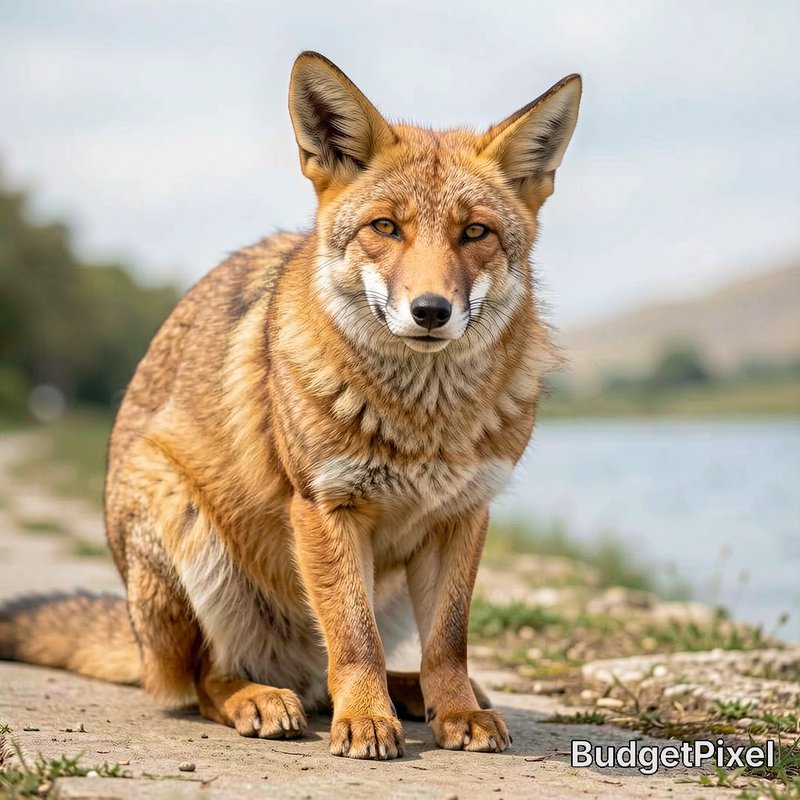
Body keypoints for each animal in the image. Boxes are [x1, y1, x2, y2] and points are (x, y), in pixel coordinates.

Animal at [0, 51, 581, 760]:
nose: (430, 312)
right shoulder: (325, 505)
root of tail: (140, 645)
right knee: (208, 680)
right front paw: (366, 720)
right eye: (385, 228)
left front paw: (456, 712)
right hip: (188, 535)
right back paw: (263, 699)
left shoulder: (463, 515)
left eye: (475, 233)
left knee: (342, 670)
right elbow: (353, 639)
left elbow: (448, 643)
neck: (423, 425)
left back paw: (410, 694)